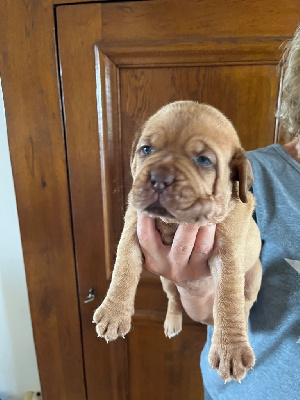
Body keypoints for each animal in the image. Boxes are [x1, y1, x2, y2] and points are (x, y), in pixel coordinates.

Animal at [92, 100, 262, 382]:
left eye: (203, 160)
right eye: (146, 149)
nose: (159, 178)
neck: (173, 224)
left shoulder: (228, 254)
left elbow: (228, 299)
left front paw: (231, 349)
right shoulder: (132, 230)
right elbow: (123, 270)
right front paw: (114, 312)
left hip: (254, 275)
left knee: (245, 303)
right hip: (167, 282)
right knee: (174, 300)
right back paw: (172, 322)